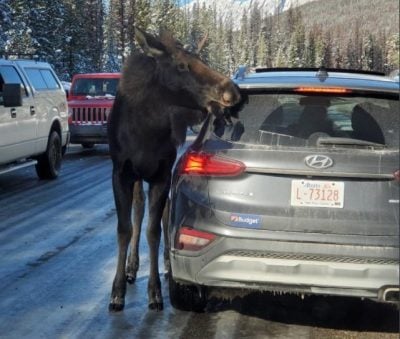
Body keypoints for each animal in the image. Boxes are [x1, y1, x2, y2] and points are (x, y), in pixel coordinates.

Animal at [106, 27, 241, 314]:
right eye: (181, 65)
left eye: (199, 58)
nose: (231, 89)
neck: (145, 131)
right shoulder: (120, 173)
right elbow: (124, 229)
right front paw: (117, 291)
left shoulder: (162, 174)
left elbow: (154, 230)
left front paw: (155, 292)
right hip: (138, 177)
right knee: (139, 209)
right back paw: (132, 267)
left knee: (164, 211)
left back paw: (167, 264)